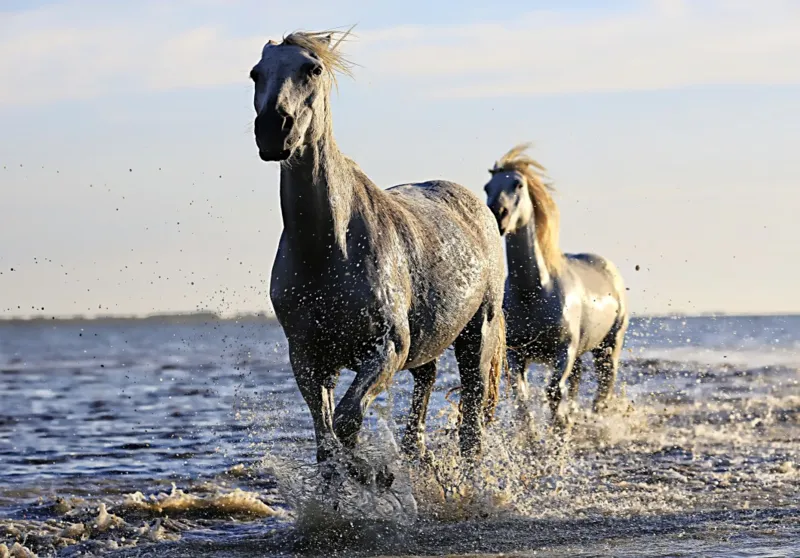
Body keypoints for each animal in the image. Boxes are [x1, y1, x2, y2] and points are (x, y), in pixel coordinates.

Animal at [250, 30, 506, 482]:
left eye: (312, 69)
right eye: (255, 73)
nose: (273, 130)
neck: (329, 250)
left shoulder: (386, 349)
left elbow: (347, 422)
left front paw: (371, 477)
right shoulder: (309, 359)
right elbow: (327, 442)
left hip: (478, 337)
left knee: (472, 426)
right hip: (429, 344)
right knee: (424, 391)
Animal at [483, 144, 628, 429]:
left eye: (518, 184)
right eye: (487, 187)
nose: (497, 214)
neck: (534, 292)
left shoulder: (564, 351)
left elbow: (553, 393)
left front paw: (558, 429)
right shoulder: (517, 354)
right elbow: (522, 397)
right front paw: (533, 434)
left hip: (608, 346)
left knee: (603, 386)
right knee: (577, 381)